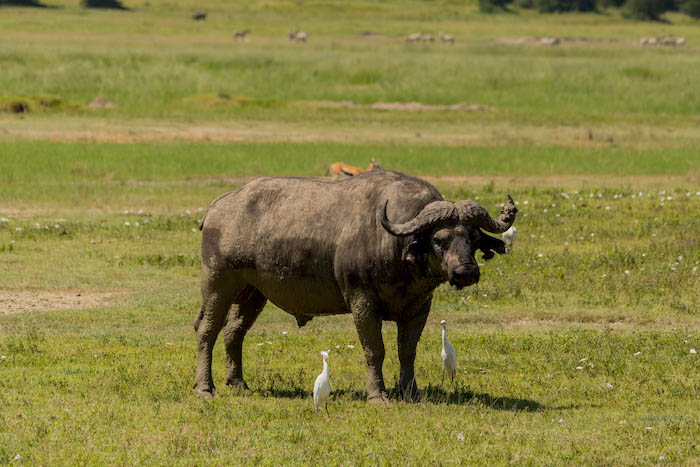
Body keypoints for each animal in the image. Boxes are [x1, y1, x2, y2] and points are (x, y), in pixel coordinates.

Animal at [194, 170, 516, 404]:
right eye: (439, 239)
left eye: (473, 238)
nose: (466, 272)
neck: (394, 246)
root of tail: (217, 208)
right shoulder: (363, 303)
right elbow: (375, 350)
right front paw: (377, 395)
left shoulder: (420, 307)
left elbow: (407, 351)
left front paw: (411, 392)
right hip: (218, 284)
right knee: (207, 330)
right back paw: (205, 388)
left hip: (253, 293)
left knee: (234, 332)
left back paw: (239, 384)